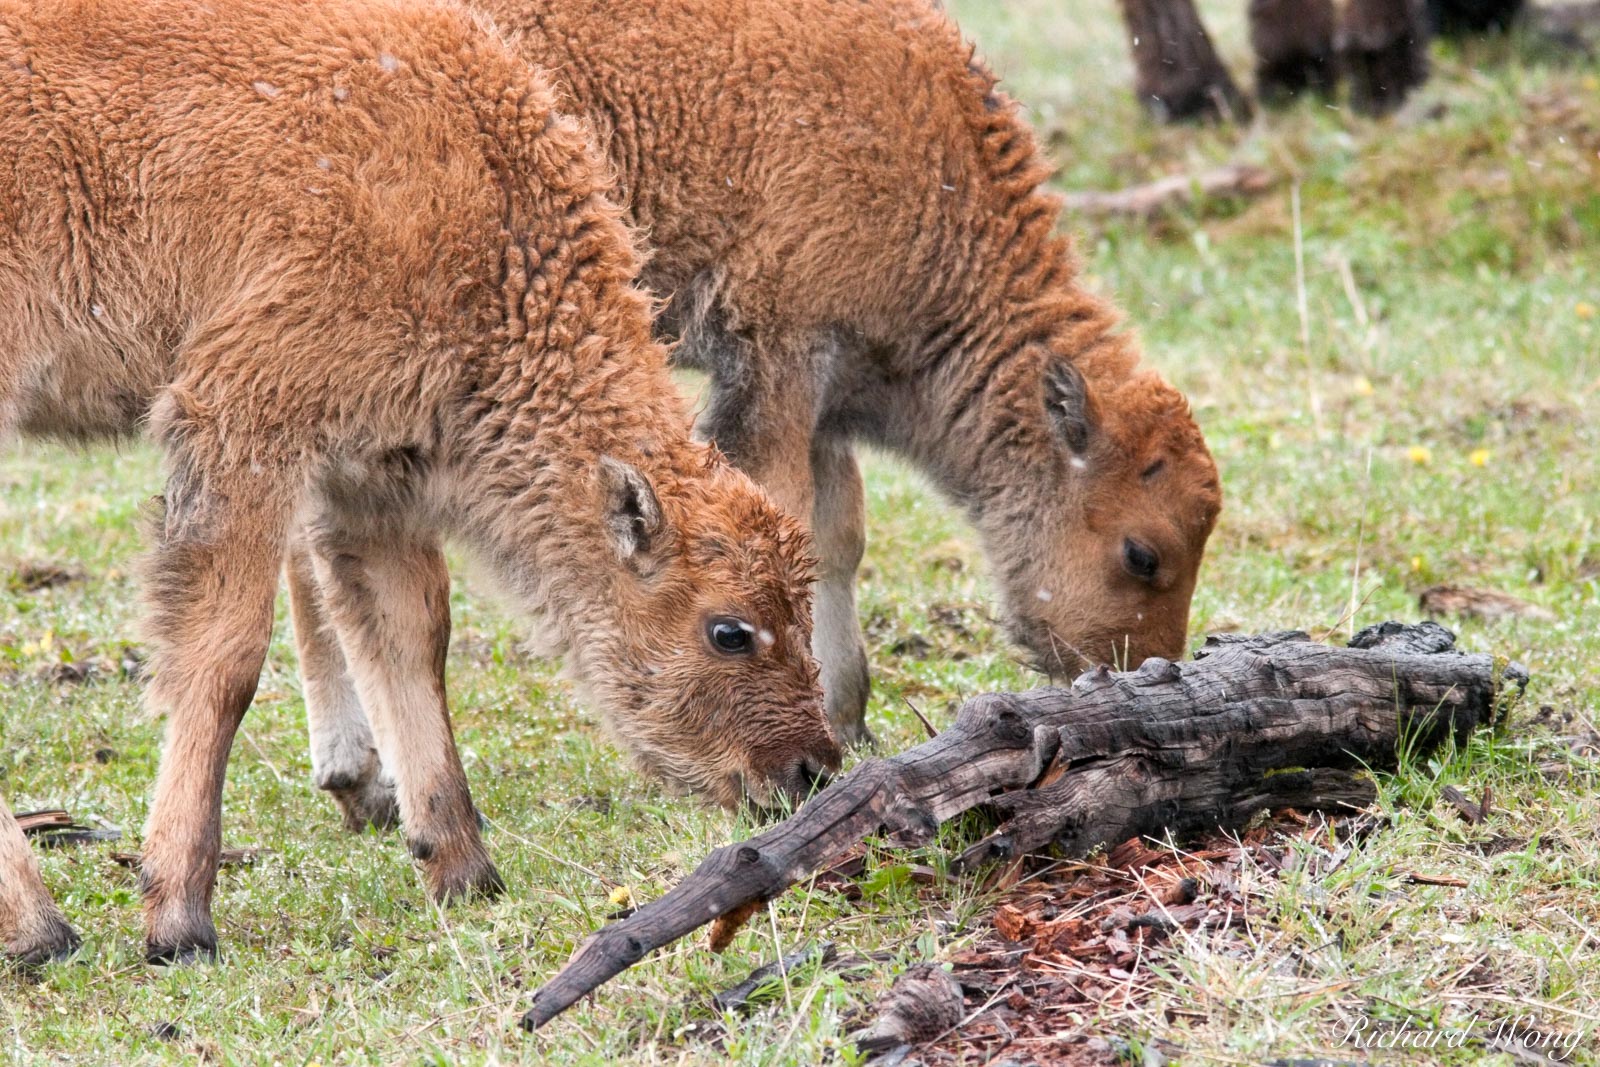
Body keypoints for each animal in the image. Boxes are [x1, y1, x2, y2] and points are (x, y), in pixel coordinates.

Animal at [0, 0, 844, 966]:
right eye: (729, 630)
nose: (811, 768)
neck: (480, 195)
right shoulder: (245, 419)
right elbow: (225, 659)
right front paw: (178, 917)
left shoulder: (370, 470)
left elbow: (410, 639)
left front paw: (463, 867)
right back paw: (42, 928)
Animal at [294, 0, 1222, 799]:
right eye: (1143, 553)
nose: (1143, 668)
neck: (931, 163)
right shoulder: (778, 361)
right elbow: (793, 515)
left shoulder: (824, 387)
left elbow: (839, 534)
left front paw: (848, 713)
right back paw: (355, 770)